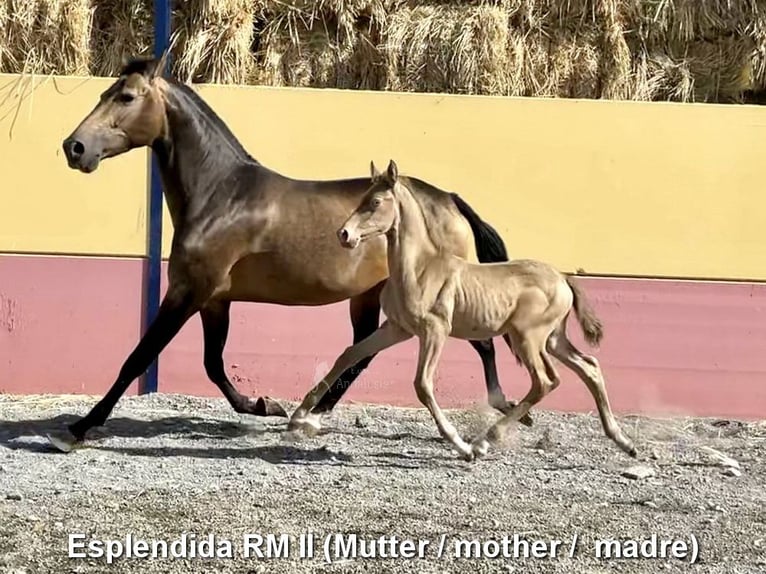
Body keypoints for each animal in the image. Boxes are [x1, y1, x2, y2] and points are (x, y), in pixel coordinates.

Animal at [54, 55, 532, 450]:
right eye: (103, 94)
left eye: (126, 96)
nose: (73, 148)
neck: (220, 196)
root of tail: (449, 199)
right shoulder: (214, 300)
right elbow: (213, 363)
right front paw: (264, 405)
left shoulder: (188, 292)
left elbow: (137, 359)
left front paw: (77, 429)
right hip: (368, 296)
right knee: (363, 349)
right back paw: (312, 413)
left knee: (479, 345)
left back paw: (504, 413)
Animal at [288, 159, 636, 464]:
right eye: (360, 199)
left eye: (374, 202)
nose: (344, 234)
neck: (419, 268)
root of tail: (564, 279)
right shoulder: (397, 329)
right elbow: (350, 354)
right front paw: (299, 415)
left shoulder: (435, 330)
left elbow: (422, 384)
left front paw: (460, 446)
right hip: (552, 339)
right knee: (589, 367)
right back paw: (624, 442)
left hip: (527, 338)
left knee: (546, 381)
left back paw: (484, 441)